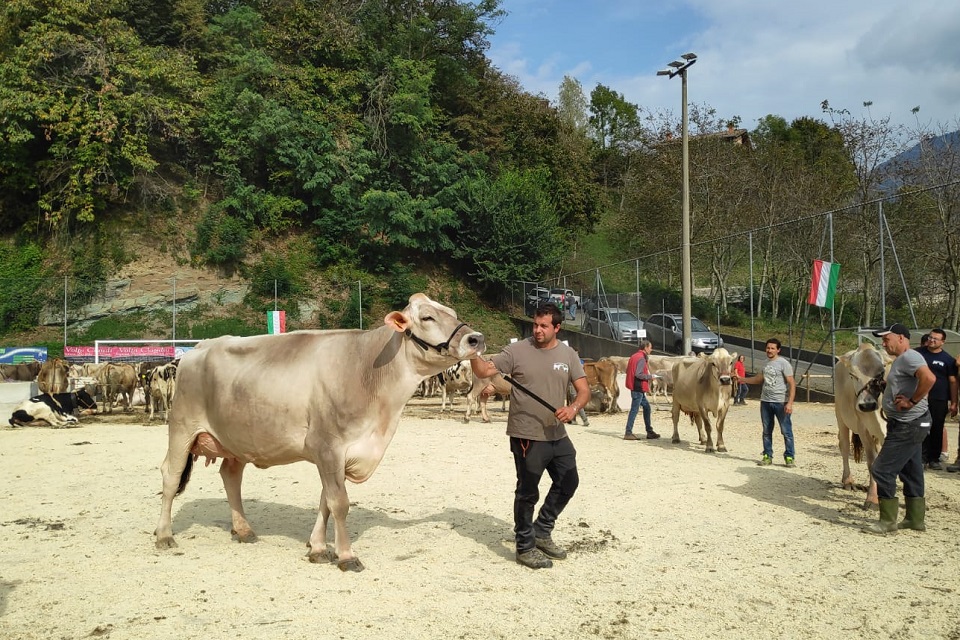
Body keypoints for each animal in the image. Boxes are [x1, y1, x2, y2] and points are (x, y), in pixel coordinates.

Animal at [158, 292, 488, 572]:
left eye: (452, 313)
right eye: (427, 317)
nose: (476, 338)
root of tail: (198, 348)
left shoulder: (337, 454)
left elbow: (326, 502)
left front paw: (317, 548)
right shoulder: (328, 445)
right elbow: (339, 503)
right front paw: (347, 556)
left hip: (235, 438)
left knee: (230, 476)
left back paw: (243, 529)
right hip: (182, 426)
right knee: (171, 476)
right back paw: (163, 535)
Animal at [832, 342, 892, 508]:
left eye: (881, 372)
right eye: (852, 375)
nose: (867, 405)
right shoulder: (863, 429)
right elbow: (872, 462)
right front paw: (872, 499)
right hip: (840, 416)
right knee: (844, 446)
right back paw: (848, 481)